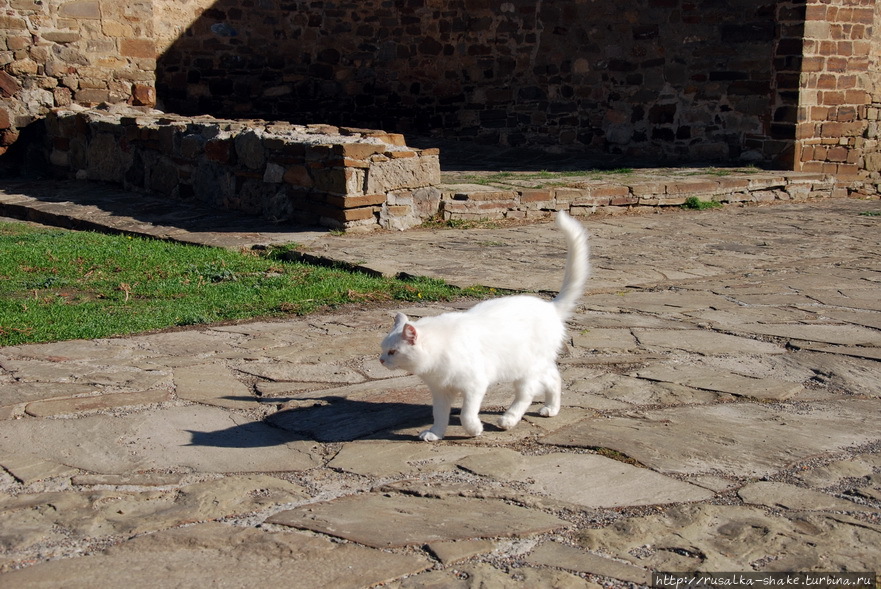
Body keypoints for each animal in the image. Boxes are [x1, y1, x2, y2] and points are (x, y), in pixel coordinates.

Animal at [380, 211, 592, 440]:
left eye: (393, 352)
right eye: (383, 350)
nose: (381, 360)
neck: (439, 353)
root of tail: (550, 307)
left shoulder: (475, 385)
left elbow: (466, 414)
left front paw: (474, 430)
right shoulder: (441, 391)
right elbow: (439, 415)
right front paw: (435, 434)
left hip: (525, 369)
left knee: (527, 394)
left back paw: (508, 420)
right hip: (535, 365)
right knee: (554, 379)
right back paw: (551, 409)